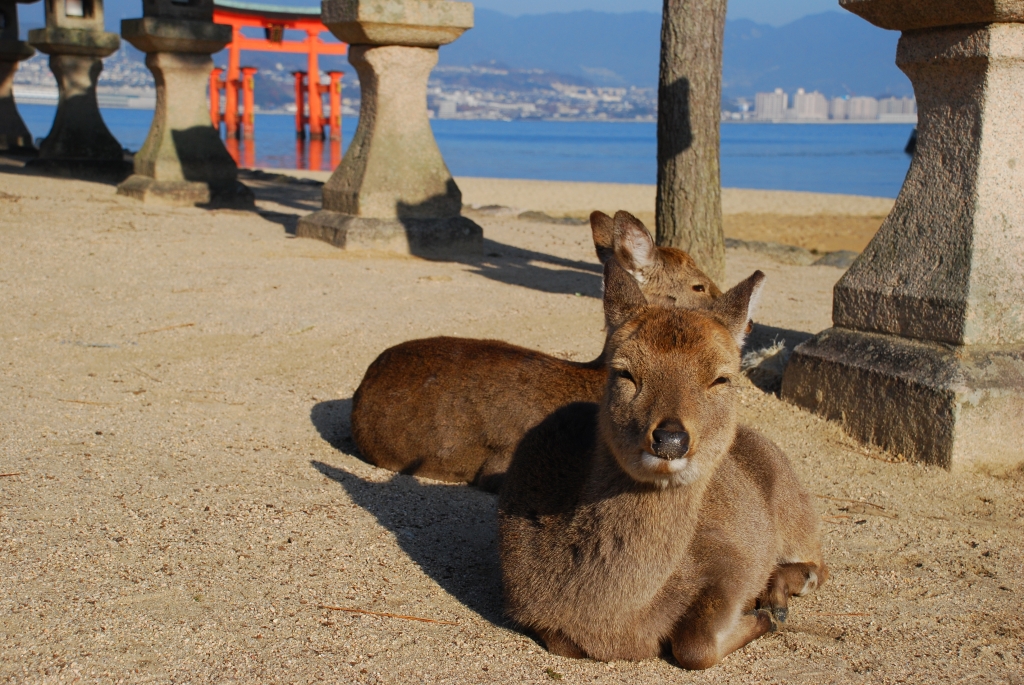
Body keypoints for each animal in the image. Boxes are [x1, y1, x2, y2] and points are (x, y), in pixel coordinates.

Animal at [495, 258, 823, 667]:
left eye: (721, 378)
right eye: (624, 372)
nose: (670, 439)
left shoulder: (733, 561)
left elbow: (695, 647)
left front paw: (763, 615)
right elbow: (564, 642)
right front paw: (764, 613)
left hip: (795, 514)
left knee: (820, 562)